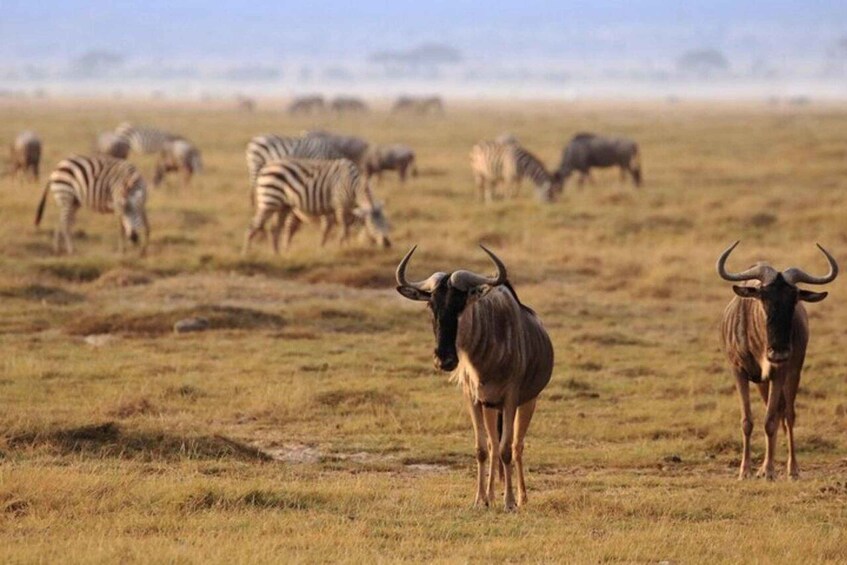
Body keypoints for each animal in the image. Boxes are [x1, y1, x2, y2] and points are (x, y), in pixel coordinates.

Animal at [242, 157, 391, 254]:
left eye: (386, 222)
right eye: (373, 224)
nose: (387, 244)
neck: (353, 185)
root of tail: (265, 167)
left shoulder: (348, 208)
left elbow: (346, 228)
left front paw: (345, 245)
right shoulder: (340, 204)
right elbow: (343, 228)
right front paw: (343, 247)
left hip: (283, 206)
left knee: (274, 229)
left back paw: (277, 254)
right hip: (269, 202)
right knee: (253, 225)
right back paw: (247, 253)